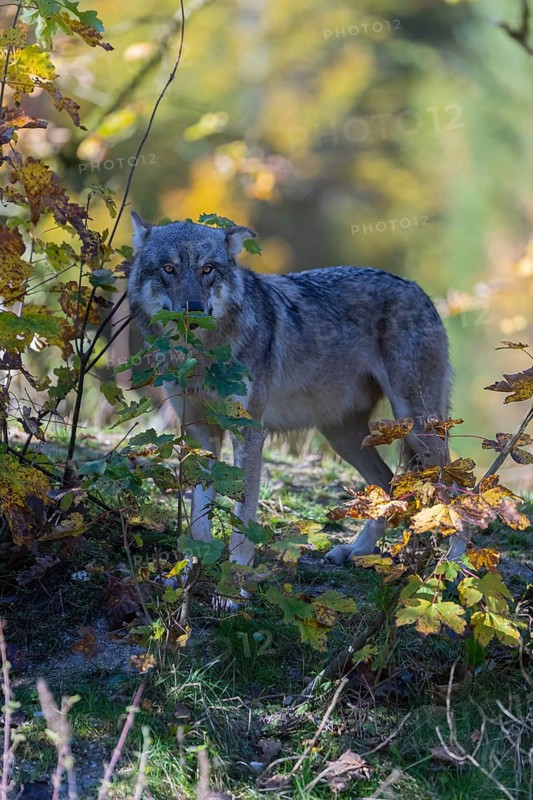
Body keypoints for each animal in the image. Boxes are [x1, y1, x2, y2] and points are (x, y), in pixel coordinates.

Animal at [128, 213, 454, 567]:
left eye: (208, 269)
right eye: (168, 268)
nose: (195, 310)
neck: (202, 358)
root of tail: (417, 289)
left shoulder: (250, 433)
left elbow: (244, 513)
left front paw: (237, 573)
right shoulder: (201, 434)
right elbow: (199, 515)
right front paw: (195, 563)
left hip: (417, 429)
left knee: (457, 487)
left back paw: (457, 562)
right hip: (344, 436)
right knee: (387, 483)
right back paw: (357, 549)